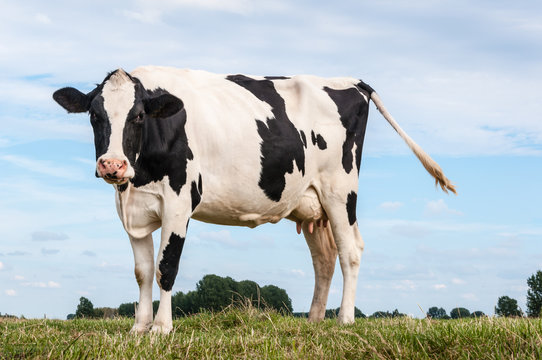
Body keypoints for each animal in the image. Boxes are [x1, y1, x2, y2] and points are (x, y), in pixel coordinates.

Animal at [53, 66, 456, 334]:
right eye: (95, 115)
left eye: (138, 116)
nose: (112, 164)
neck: (138, 179)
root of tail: (353, 82)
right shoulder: (132, 210)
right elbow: (143, 271)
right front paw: (139, 328)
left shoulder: (179, 202)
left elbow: (167, 267)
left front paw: (161, 329)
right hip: (312, 202)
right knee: (324, 259)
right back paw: (314, 321)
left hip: (340, 191)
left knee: (350, 250)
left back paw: (344, 319)